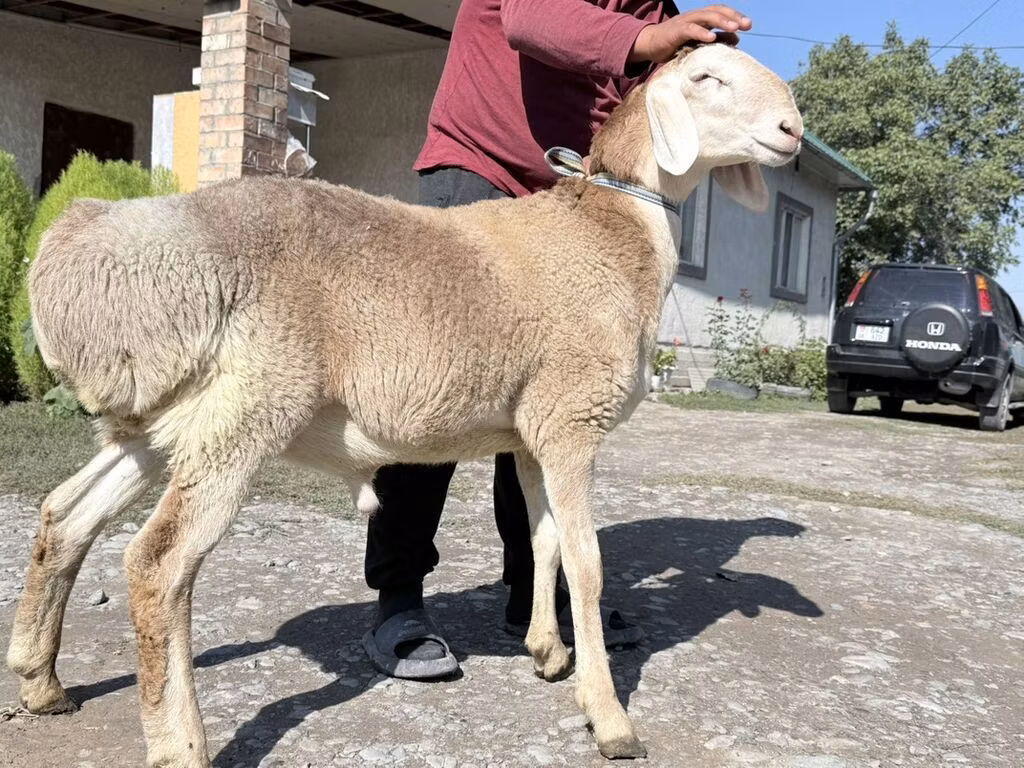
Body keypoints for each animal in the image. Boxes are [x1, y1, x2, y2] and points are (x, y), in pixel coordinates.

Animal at [6, 43, 802, 766]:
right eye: (706, 76)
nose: (793, 130)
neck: (610, 233)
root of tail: (91, 252)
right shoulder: (572, 417)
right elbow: (586, 561)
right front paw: (609, 718)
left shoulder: (531, 431)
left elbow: (541, 539)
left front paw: (547, 650)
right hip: (248, 409)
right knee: (157, 563)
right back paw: (179, 744)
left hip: (164, 420)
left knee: (65, 515)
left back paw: (40, 681)